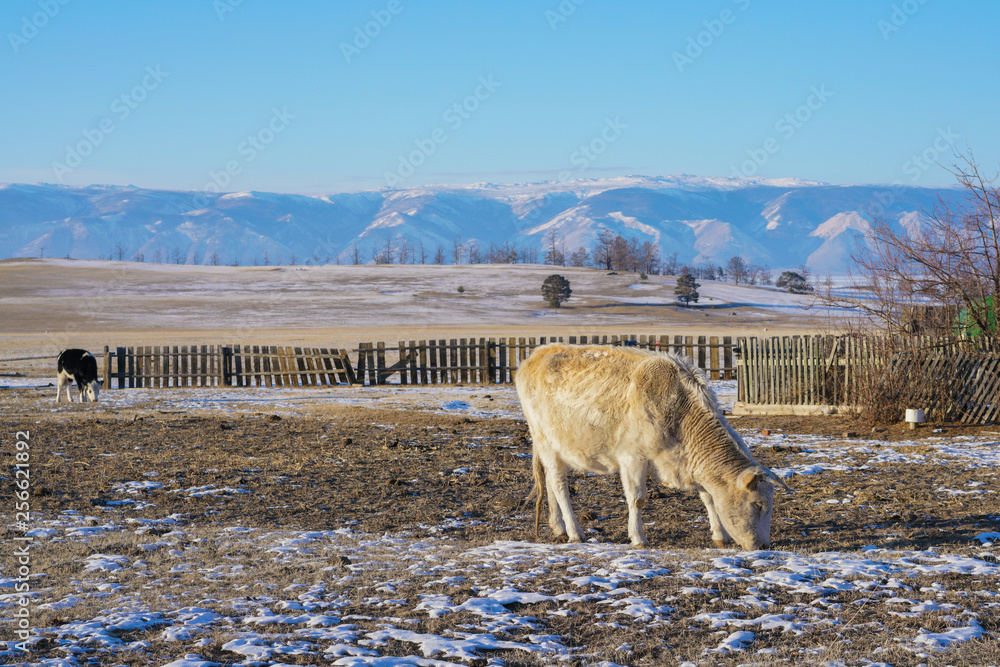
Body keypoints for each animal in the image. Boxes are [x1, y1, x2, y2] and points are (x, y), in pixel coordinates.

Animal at [516, 342, 788, 552]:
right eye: (759, 505)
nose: (764, 546)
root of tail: (536, 355)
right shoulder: (632, 458)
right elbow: (637, 499)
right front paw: (638, 538)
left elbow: (708, 497)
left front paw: (719, 536)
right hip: (547, 443)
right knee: (559, 485)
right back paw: (574, 532)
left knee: (550, 484)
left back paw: (558, 527)